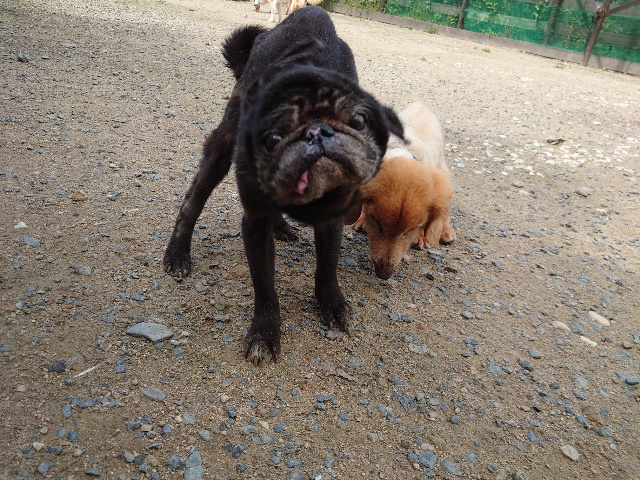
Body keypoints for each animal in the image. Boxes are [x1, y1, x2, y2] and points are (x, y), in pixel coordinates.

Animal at [163, 7, 403, 364]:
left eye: (358, 122)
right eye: (273, 135)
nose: (317, 134)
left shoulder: (332, 218)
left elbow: (327, 265)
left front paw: (332, 303)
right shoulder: (255, 224)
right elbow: (264, 284)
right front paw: (264, 332)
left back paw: (282, 227)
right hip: (222, 145)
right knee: (194, 199)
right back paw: (178, 252)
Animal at [346, 102, 456, 280]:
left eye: (410, 230)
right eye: (376, 221)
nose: (384, 274)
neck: (399, 150)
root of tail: (420, 104)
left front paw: (420, 236)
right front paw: (361, 219)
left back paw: (446, 231)